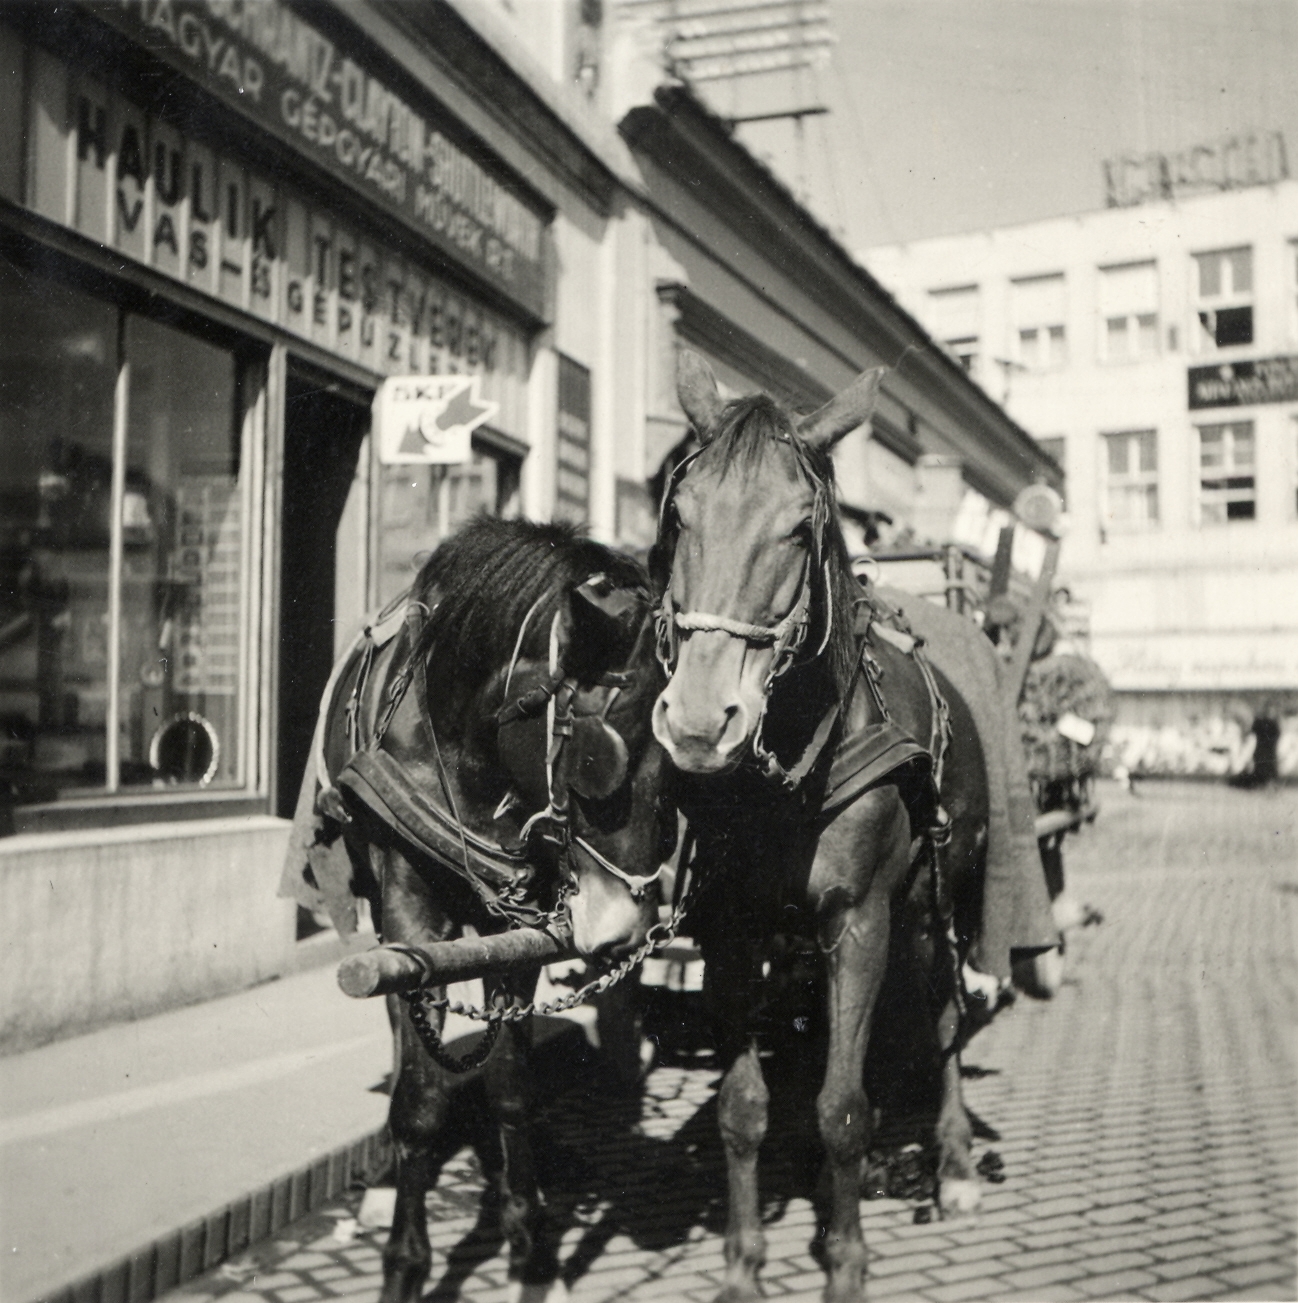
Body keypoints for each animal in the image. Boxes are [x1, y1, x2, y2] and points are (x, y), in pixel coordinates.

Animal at [284, 515, 667, 1303]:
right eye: (599, 757)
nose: (626, 931)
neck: (468, 750)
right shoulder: (409, 907)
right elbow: (423, 1096)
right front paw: (406, 1262)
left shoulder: (520, 923)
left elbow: (512, 1085)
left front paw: (531, 1247)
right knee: (401, 1027)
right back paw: (387, 1176)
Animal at [654, 357, 1000, 1303]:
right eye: (679, 511)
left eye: (799, 526)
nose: (699, 721)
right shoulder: (734, 931)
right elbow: (744, 1108)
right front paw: (743, 1267)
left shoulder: (860, 917)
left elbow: (845, 1108)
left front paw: (846, 1259)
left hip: (938, 900)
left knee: (944, 1010)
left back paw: (953, 1159)